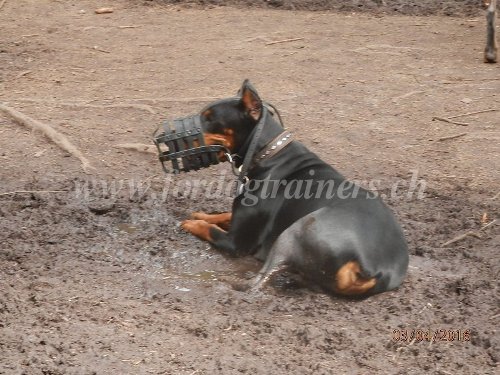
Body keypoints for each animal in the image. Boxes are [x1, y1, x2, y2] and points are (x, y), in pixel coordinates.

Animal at [178, 80, 408, 296]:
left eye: (209, 118)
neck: (268, 154)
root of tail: (374, 270)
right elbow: (224, 214)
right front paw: (202, 214)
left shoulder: (236, 242)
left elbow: (210, 230)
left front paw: (192, 223)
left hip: (294, 231)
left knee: (257, 281)